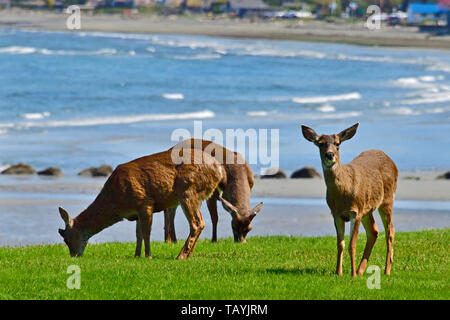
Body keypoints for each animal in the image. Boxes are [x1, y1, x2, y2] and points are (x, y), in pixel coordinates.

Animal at [58, 148, 229, 260]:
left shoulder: (144, 202)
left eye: (66, 238)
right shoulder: (136, 211)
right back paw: (187, 255)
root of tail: (220, 171)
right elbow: (138, 233)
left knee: (197, 223)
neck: (116, 202)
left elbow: (147, 232)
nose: (74, 255)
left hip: (188, 190)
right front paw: (136, 254)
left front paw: (148, 256)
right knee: (200, 223)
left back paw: (180, 256)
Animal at [300, 122, 400, 276]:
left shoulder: (356, 211)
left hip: (387, 199)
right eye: (320, 144)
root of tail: (390, 160)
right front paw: (338, 272)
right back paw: (361, 270)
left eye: (337, 144)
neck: (343, 195)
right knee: (374, 231)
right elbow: (340, 244)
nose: (330, 155)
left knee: (390, 231)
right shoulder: (336, 214)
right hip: (367, 207)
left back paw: (386, 271)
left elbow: (352, 244)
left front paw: (352, 275)